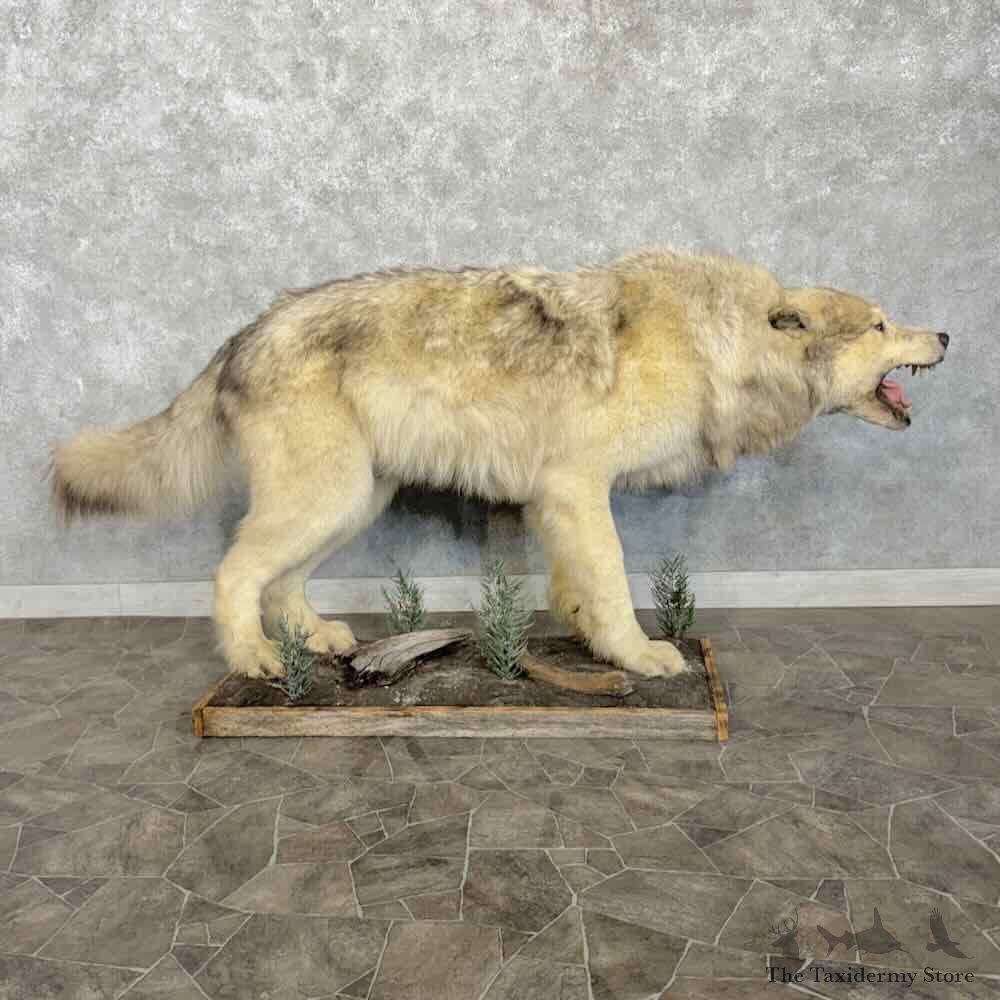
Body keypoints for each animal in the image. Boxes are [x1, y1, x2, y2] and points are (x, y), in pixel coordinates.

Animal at [51, 249, 948, 678]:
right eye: (879, 324)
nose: (945, 333)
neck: (716, 345)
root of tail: (242, 334)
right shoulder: (580, 489)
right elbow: (614, 582)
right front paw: (642, 657)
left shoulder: (562, 500)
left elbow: (577, 589)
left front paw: (590, 647)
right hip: (327, 499)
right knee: (235, 575)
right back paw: (259, 663)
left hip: (351, 501)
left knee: (281, 583)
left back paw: (320, 642)